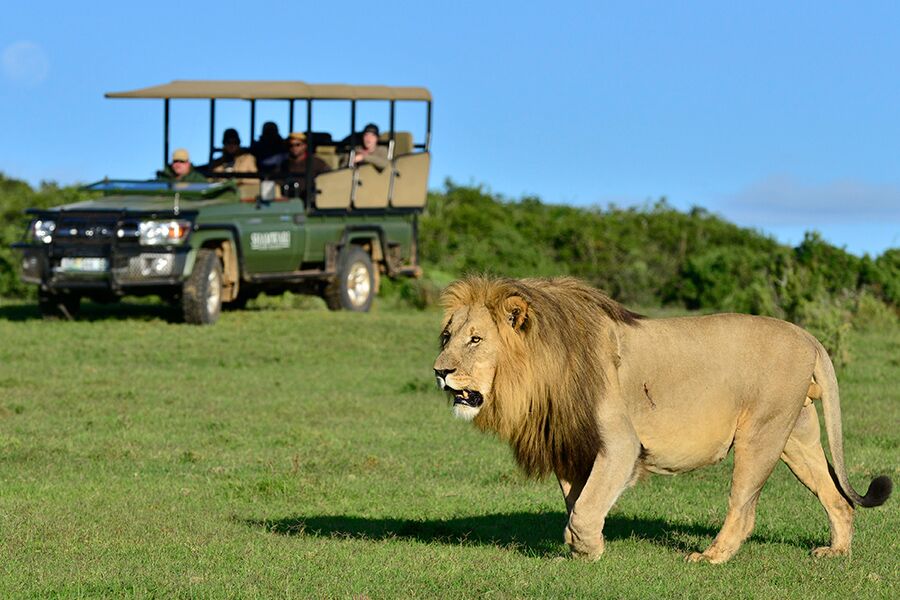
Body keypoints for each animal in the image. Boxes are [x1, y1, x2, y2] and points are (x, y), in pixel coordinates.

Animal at [433, 276, 892, 563]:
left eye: (475, 339)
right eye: (447, 337)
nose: (440, 371)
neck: (539, 371)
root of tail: (807, 334)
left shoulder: (620, 443)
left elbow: (585, 507)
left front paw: (588, 549)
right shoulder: (572, 445)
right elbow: (577, 502)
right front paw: (580, 545)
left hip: (761, 433)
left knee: (743, 508)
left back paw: (711, 557)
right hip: (797, 435)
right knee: (836, 497)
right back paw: (836, 551)